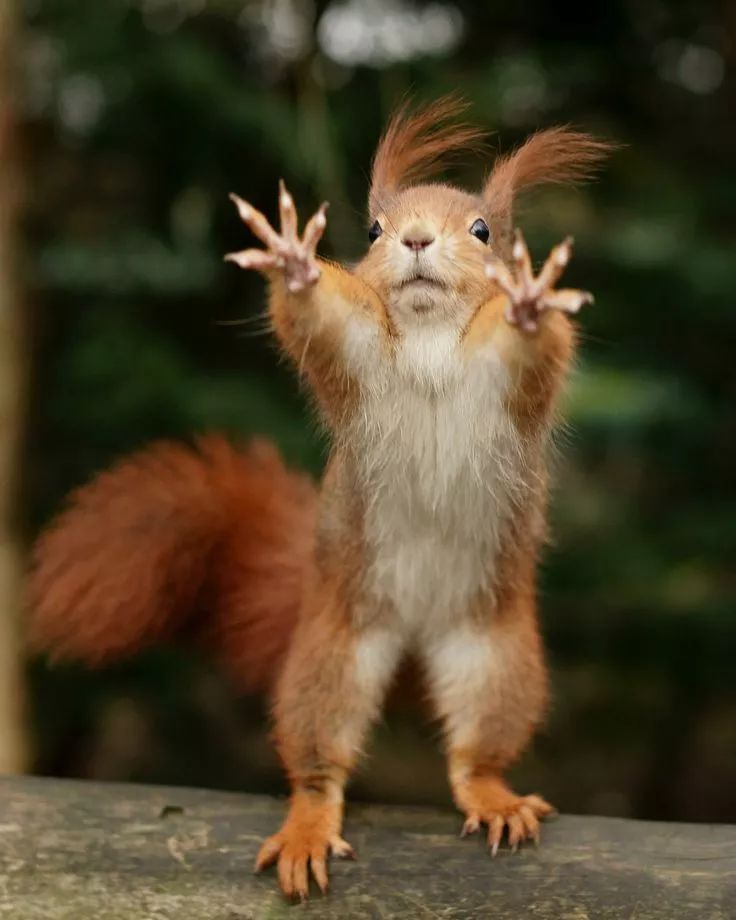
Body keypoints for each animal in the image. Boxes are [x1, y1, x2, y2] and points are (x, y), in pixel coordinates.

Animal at [27, 99, 608, 900]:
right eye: (374, 231)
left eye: (483, 231)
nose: (416, 239)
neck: (428, 336)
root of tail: (415, 632)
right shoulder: (359, 354)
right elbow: (323, 319)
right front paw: (296, 267)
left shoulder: (511, 381)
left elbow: (533, 345)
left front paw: (527, 301)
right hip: (332, 654)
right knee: (317, 759)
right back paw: (307, 824)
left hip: (496, 656)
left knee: (476, 752)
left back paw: (493, 796)